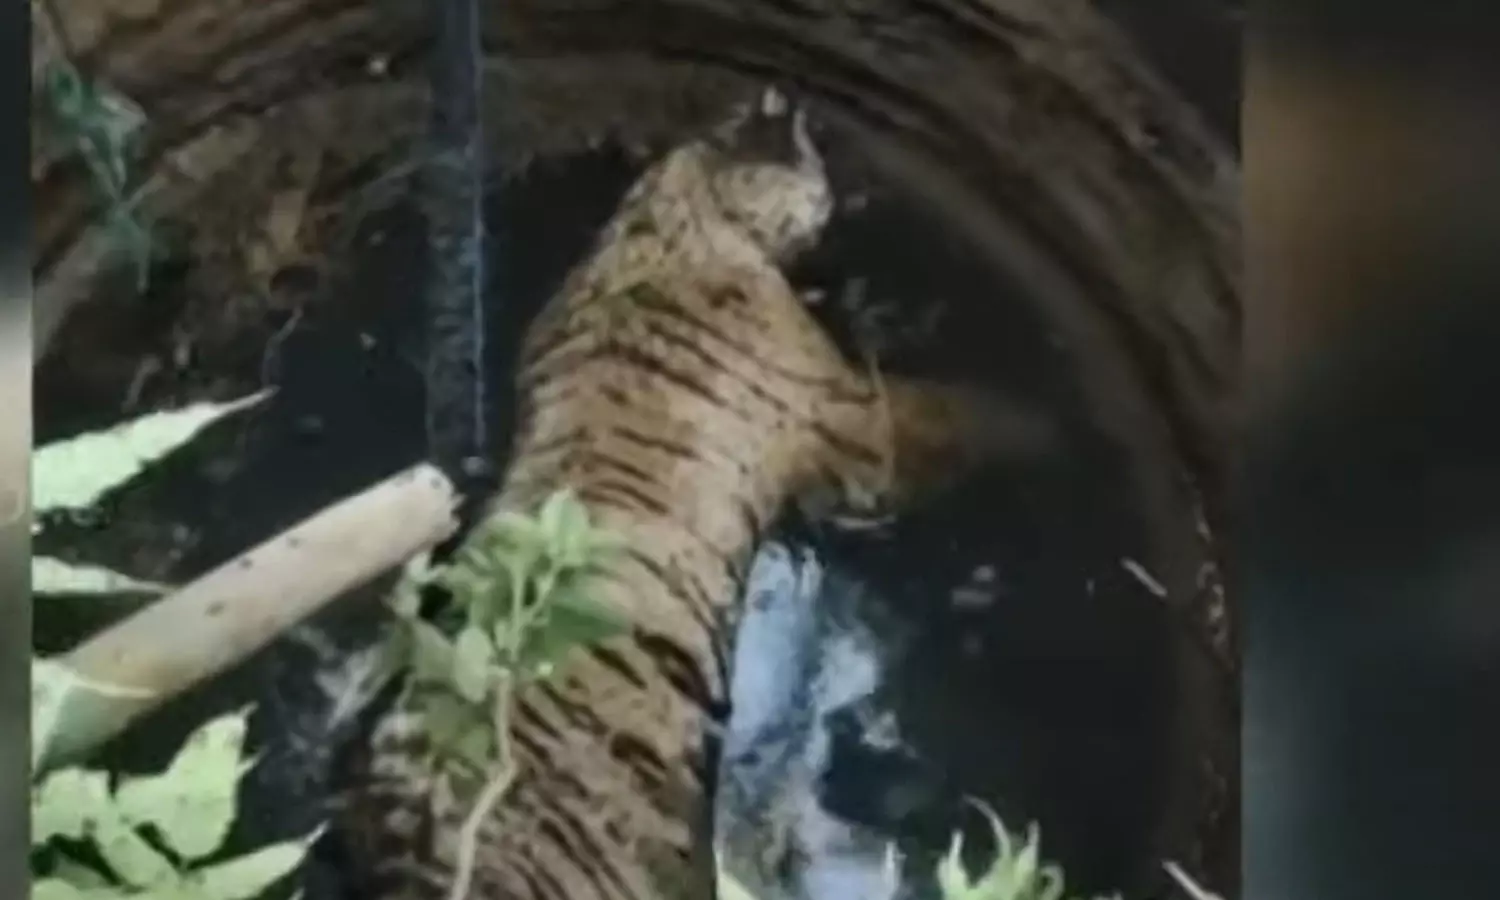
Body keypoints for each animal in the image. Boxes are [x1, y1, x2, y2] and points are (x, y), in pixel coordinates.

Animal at [337, 85, 1056, 900]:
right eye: (808, 149)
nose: (803, 114)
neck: (672, 217)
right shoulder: (850, 416)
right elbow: (950, 417)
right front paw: (1045, 421)